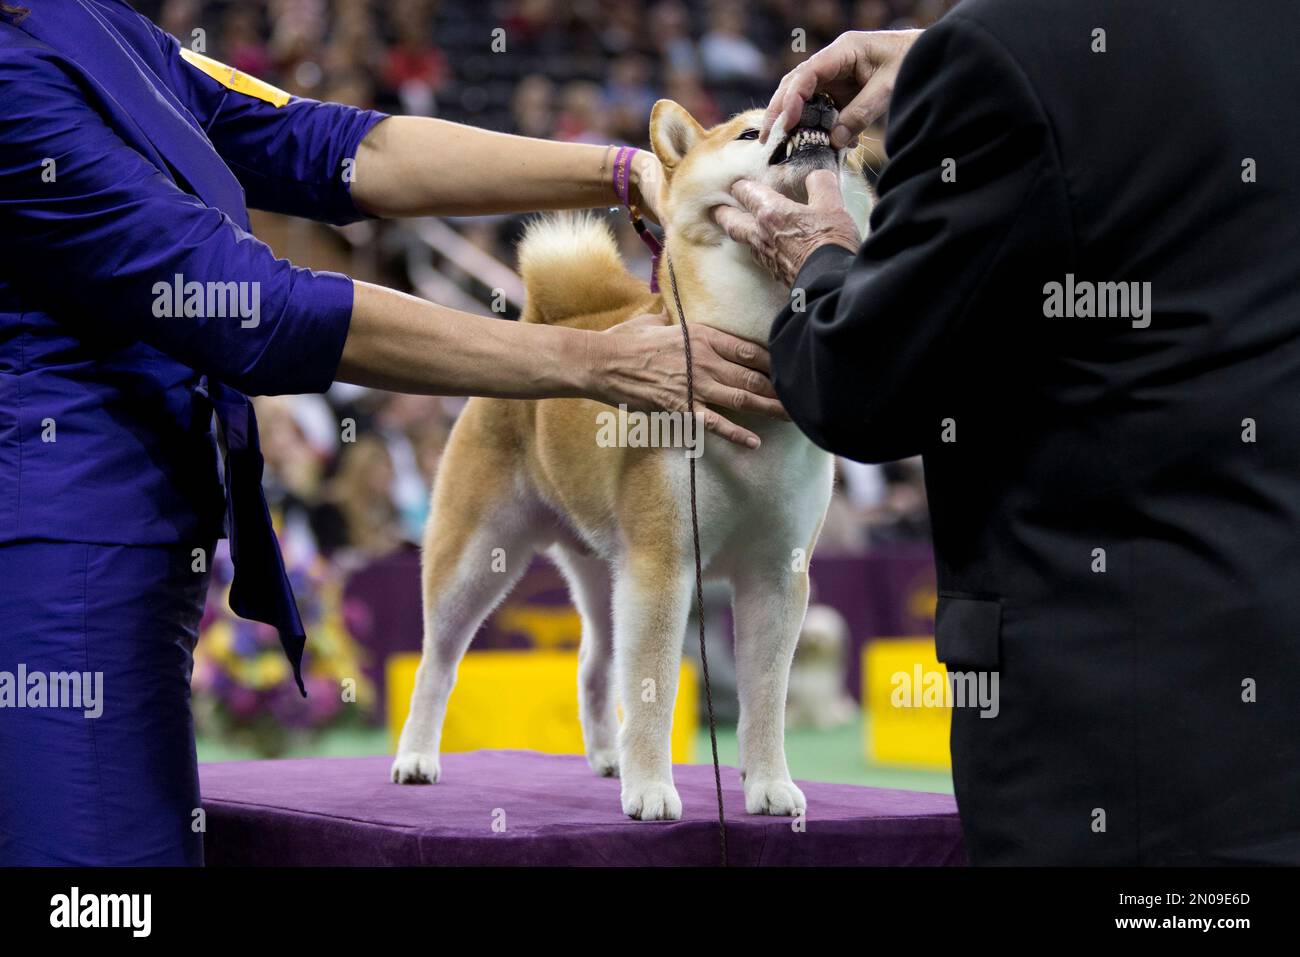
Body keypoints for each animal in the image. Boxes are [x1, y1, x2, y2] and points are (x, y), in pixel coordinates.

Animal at [387, 97, 873, 816]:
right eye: (749, 131)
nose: (817, 99)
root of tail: (544, 319)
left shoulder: (776, 573)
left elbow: (765, 698)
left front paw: (769, 785)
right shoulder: (662, 563)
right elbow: (655, 691)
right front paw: (651, 790)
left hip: (603, 569)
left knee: (594, 664)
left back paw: (606, 757)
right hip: (475, 556)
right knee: (438, 661)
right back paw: (417, 755)